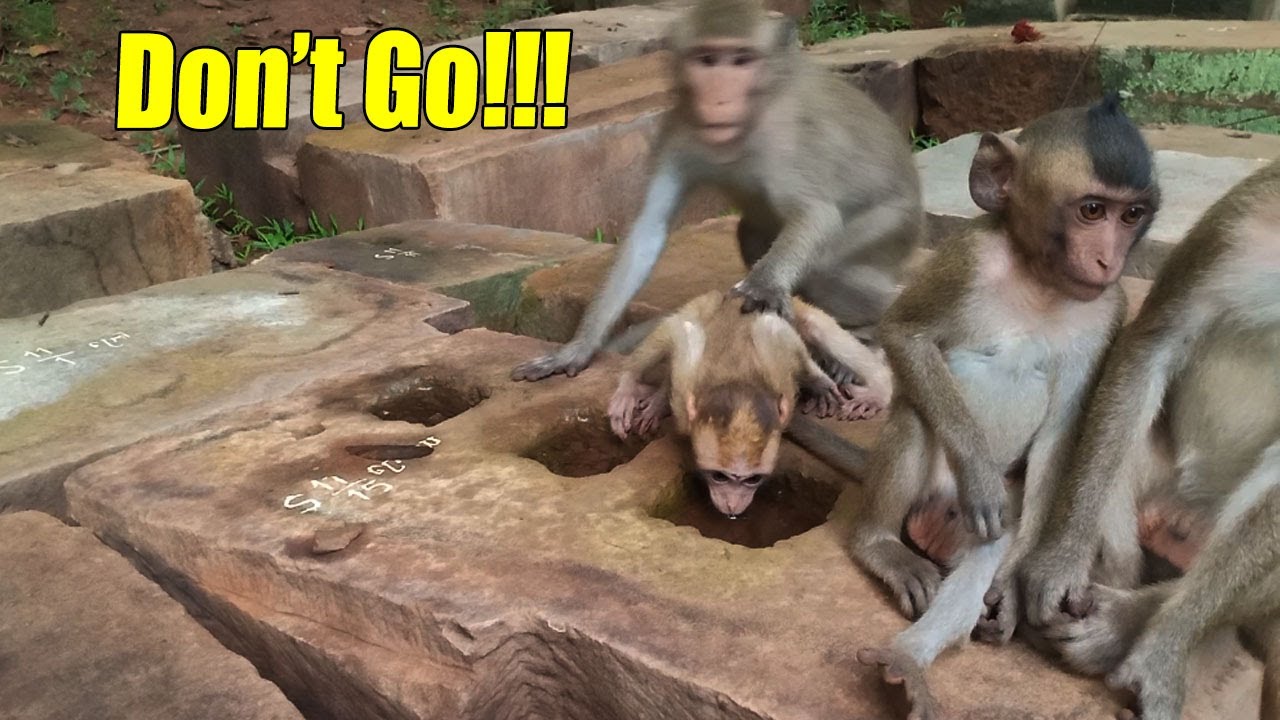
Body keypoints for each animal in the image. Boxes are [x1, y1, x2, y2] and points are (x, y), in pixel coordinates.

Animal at [511, 0, 923, 401]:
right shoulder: (678, 127)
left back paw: (868, 332)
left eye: (742, 60)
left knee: (831, 268)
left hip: (891, 224)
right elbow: (648, 230)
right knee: (751, 233)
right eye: (707, 59)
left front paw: (762, 286)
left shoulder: (785, 135)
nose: (720, 98)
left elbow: (816, 213)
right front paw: (578, 348)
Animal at [608, 288, 890, 517]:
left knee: (813, 326)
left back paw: (878, 390)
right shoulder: (684, 391)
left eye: (752, 480)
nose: (732, 506)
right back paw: (634, 390)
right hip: (705, 303)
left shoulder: (781, 379)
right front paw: (639, 387)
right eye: (719, 477)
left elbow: (773, 329)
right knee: (679, 324)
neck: (737, 383)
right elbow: (683, 334)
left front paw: (817, 381)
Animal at [845, 96, 1161, 720]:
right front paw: (981, 477)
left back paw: (910, 660)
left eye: (1132, 215)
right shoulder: (965, 257)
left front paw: (1016, 592)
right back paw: (881, 547)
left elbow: (1064, 435)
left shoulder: (1107, 312)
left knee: (992, 542)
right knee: (917, 412)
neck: (1039, 279)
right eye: (1093, 210)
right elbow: (904, 335)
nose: (1108, 261)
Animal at [1017, 159, 1280, 720]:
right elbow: (1152, 345)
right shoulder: (1243, 217)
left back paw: (1126, 621)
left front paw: (1165, 645)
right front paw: (1062, 558)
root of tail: (1187, 518)